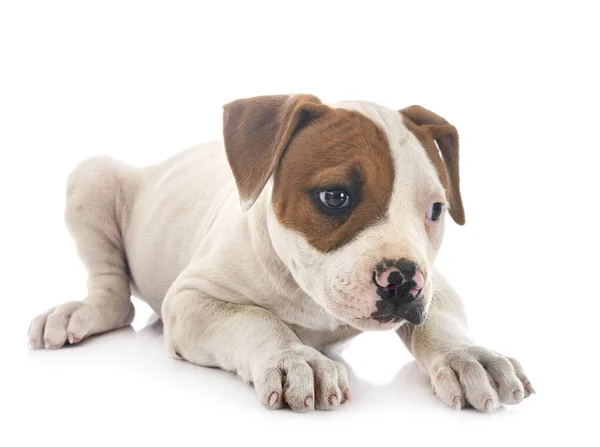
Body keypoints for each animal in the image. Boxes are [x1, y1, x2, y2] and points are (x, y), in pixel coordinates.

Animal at [28, 94, 536, 412]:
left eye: (435, 210)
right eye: (335, 197)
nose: (404, 280)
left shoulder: (436, 286)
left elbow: (438, 320)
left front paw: (468, 356)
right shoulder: (191, 300)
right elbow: (255, 318)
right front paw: (294, 358)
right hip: (92, 177)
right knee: (113, 295)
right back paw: (78, 313)